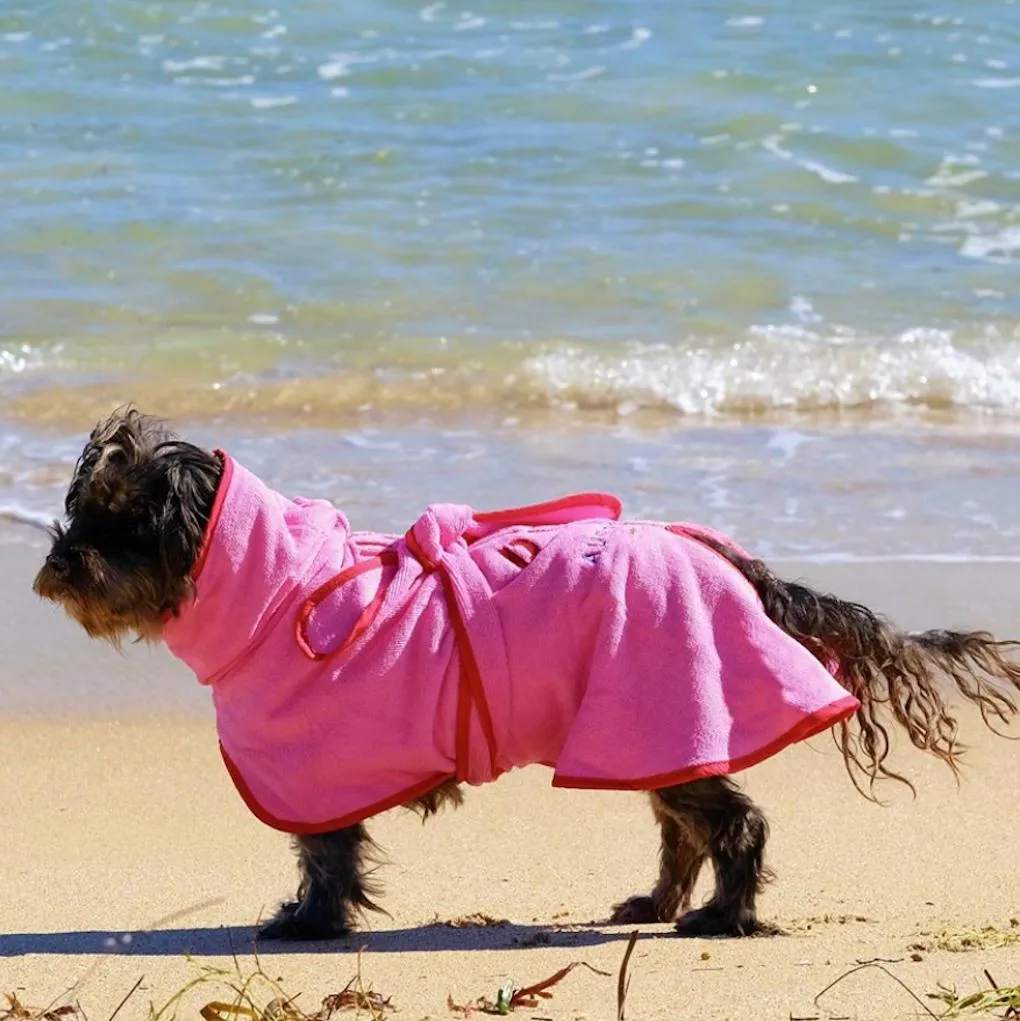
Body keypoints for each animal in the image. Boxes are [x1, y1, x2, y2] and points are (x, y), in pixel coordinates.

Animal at [31, 406, 1020, 939]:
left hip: (665, 710)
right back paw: (657, 901)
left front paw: (309, 925)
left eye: (121, 522)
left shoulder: (316, 767)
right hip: (651, 730)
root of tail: (732, 559)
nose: (58, 563)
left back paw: (724, 915)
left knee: (735, 823)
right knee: (683, 828)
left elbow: (325, 854)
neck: (280, 590)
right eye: (80, 513)